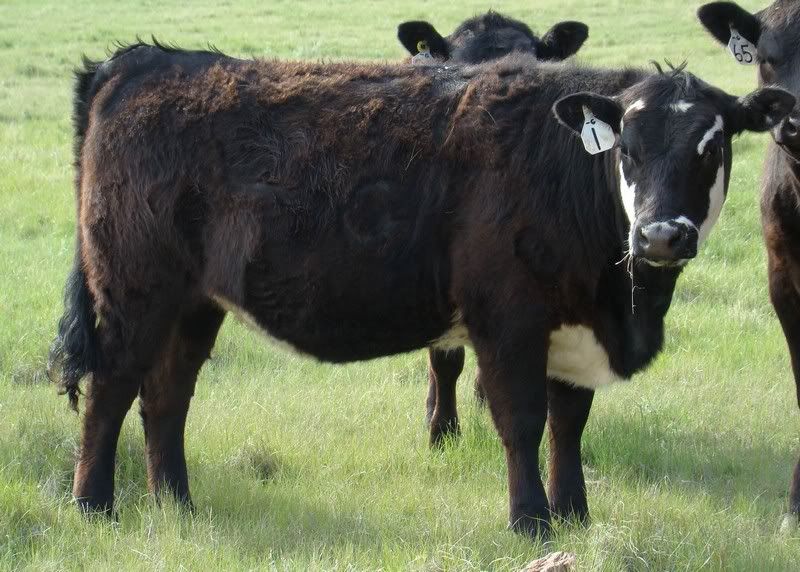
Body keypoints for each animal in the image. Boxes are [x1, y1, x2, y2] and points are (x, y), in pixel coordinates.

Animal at [48, 42, 793, 537]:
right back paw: (94, 506)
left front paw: (575, 514)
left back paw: (177, 503)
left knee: (166, 396)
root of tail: (149, 59)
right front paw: (531, 522)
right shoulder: (508, 319)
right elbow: (522, 420)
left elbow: (568, 423)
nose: (662, 235)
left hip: (194, 302)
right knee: (112, 389)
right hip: (134, 289)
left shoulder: (572, 326)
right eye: (626, 148)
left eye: (712, 145)